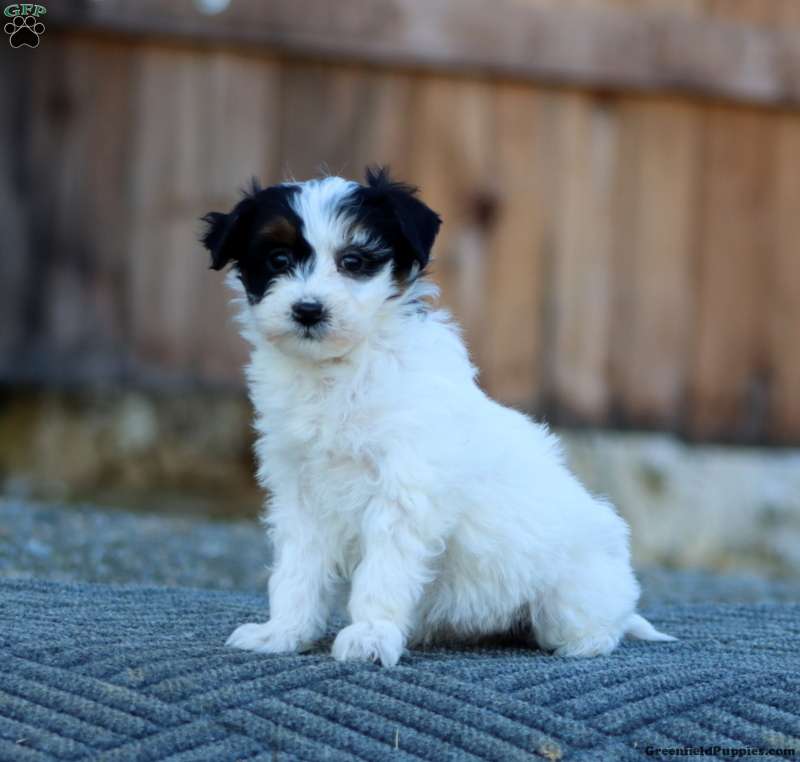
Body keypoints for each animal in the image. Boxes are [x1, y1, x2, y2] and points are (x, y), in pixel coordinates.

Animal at [200, 167, 674, 666]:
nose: (308, 310)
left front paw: (370, 634)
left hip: (575, 592)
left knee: (598, 621)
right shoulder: (300, 492)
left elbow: (382, 571)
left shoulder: (402, 490)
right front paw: (283, 632)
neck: (340, 371)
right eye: (277, 259)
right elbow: (297, 569)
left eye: (354, 261)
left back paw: (586, 641)